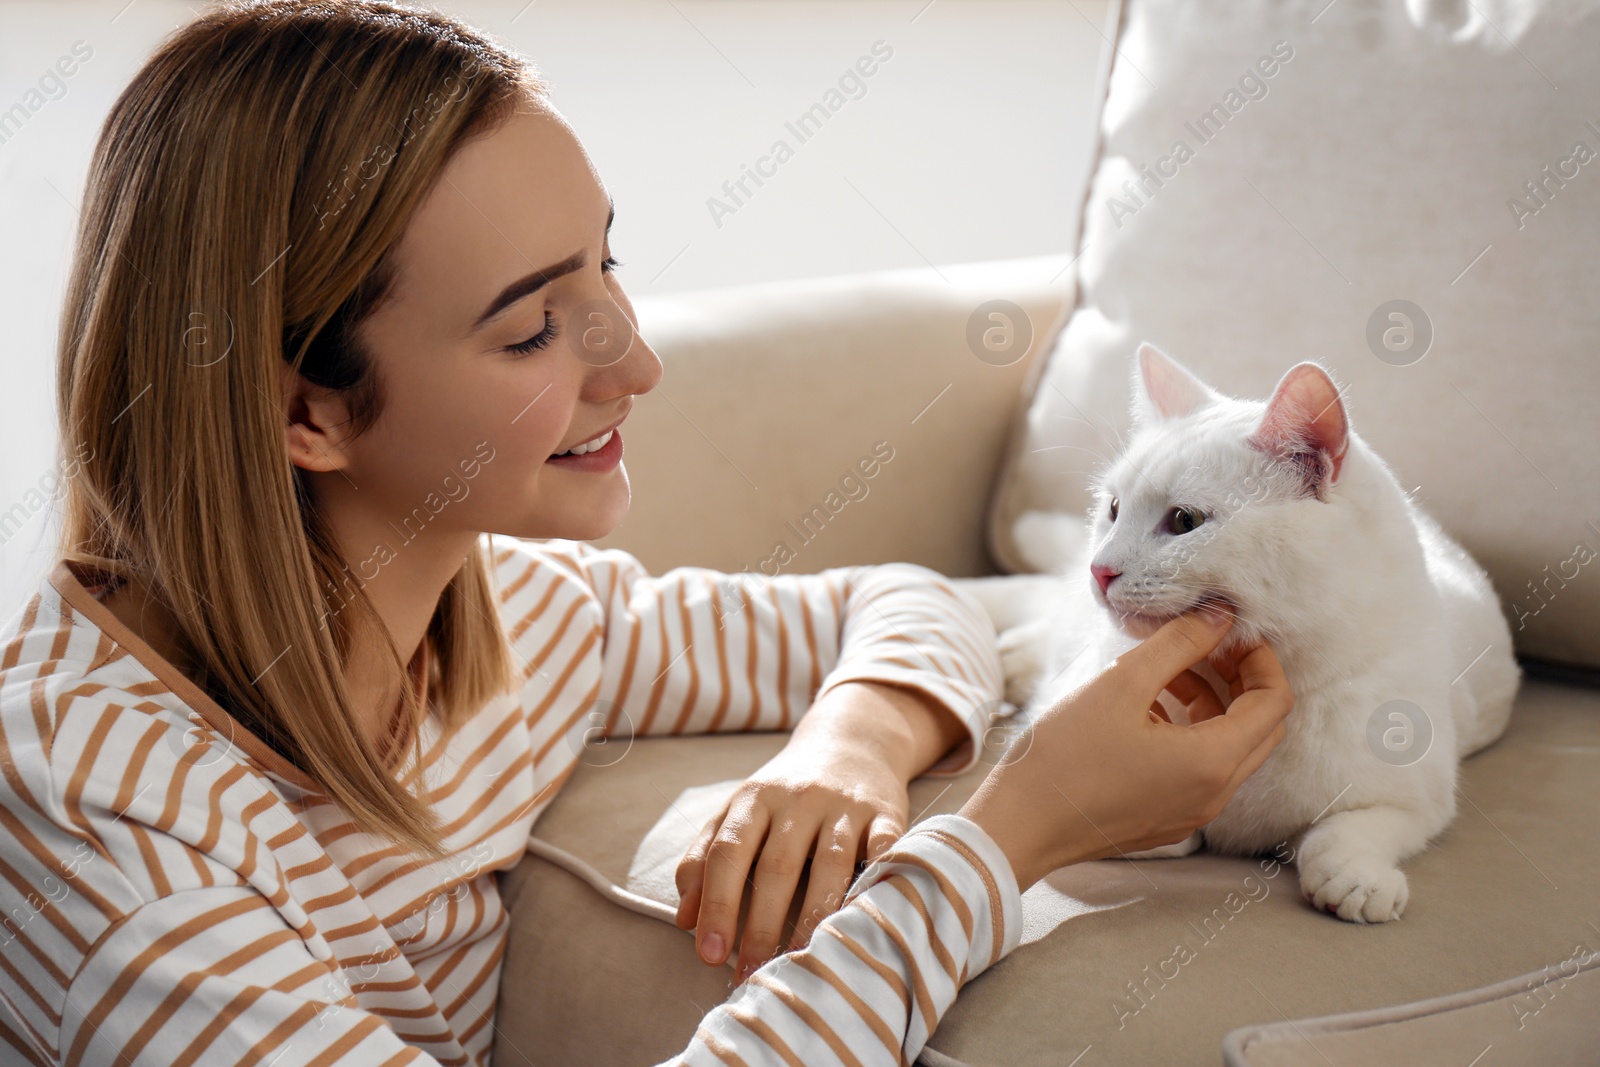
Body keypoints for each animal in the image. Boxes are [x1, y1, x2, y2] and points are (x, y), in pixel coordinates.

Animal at [953, 347, 1516, 921]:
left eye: (1184, 520)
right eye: (1112, 509)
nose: (1100, 569)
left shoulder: (1417, 799)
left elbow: (1346, 831)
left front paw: (1357, 880)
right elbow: (1166, 834)